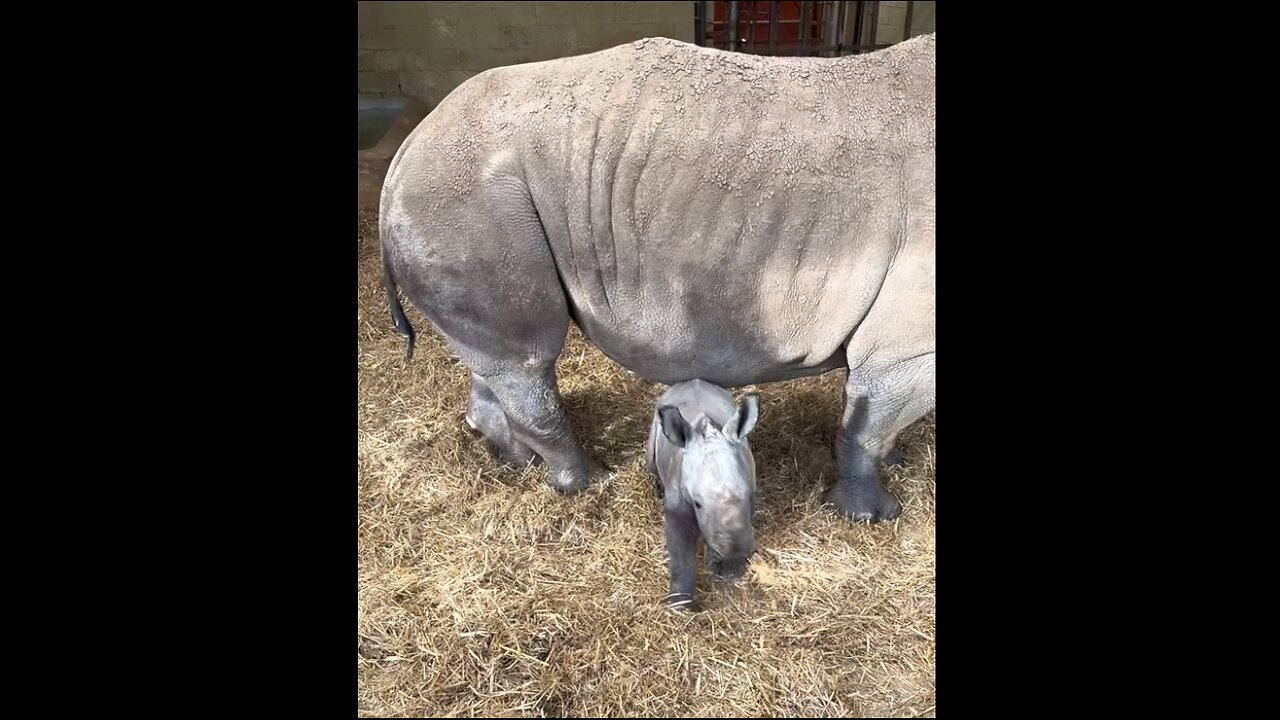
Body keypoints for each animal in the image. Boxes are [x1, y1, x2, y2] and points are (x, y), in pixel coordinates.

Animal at [650, 379, 757, 607]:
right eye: (697, 504)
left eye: (750, 496)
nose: (734, 554)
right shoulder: (677, 505)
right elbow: (680, 555)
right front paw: (679, 605)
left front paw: (730, 570)